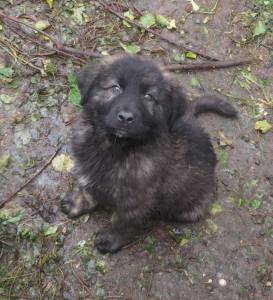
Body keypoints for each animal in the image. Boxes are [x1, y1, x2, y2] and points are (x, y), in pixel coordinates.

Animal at [61, 54, 236, 253]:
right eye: (115, 87)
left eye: (148, 96)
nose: (125, 118)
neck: (115, 148)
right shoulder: (89, 173)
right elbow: (87, 192)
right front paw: (77, 204)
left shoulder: (136, 200)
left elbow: (121, 222)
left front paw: (111, 239)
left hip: (192, 207)